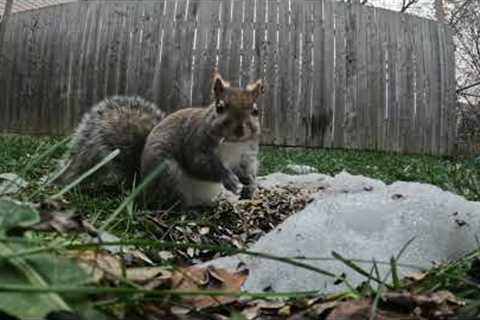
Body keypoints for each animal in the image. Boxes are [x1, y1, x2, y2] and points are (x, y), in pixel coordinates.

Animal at [52, 69, 266, 208]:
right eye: (219, 107)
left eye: (255, 111)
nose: (239, 130)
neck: (232, 145)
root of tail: (140, 187)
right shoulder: (195, 144)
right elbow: (200, 165)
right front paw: (227, 177)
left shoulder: (246, 155)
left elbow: (247, 171)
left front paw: (250, 186)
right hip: (167, 172)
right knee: (172, 202)